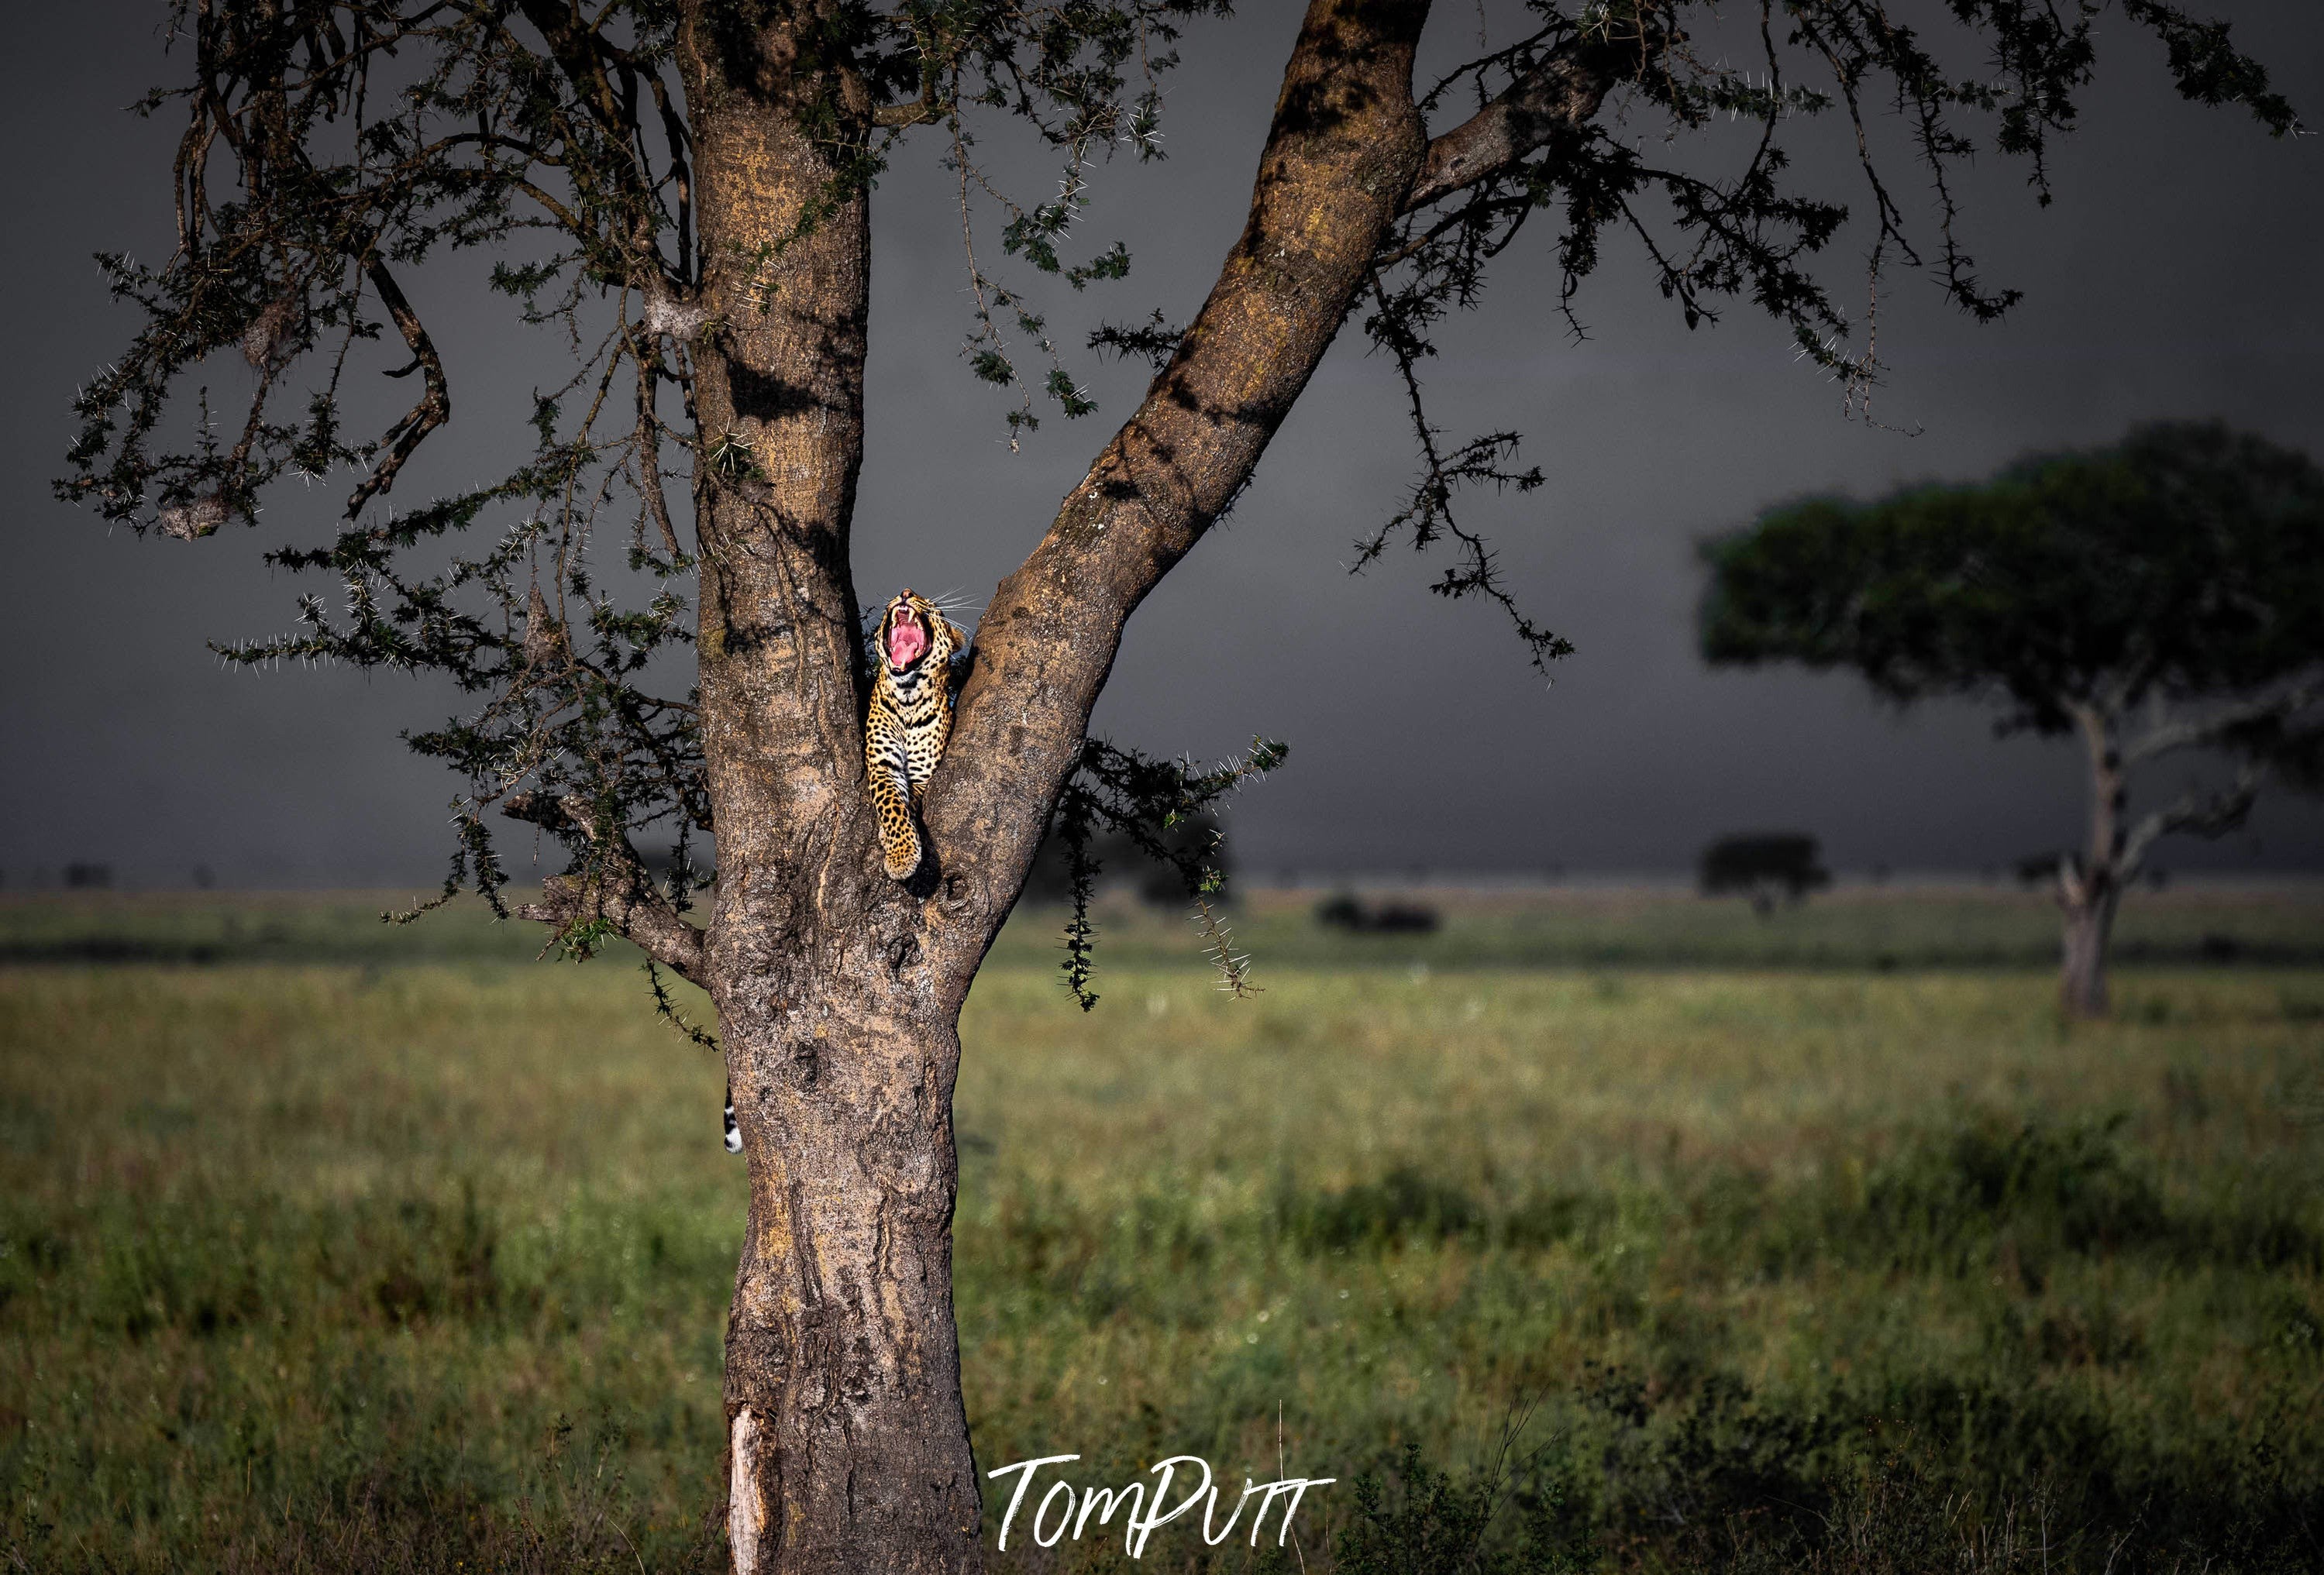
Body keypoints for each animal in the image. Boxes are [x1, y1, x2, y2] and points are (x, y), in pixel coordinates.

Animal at [865, 589, 970, 881]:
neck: (907, 697)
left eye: (937, 610)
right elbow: (891, 805)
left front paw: (893, 843)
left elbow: (909, 800)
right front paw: (902, 856)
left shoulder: (923, 774)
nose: (906, 592)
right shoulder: (883, 765)